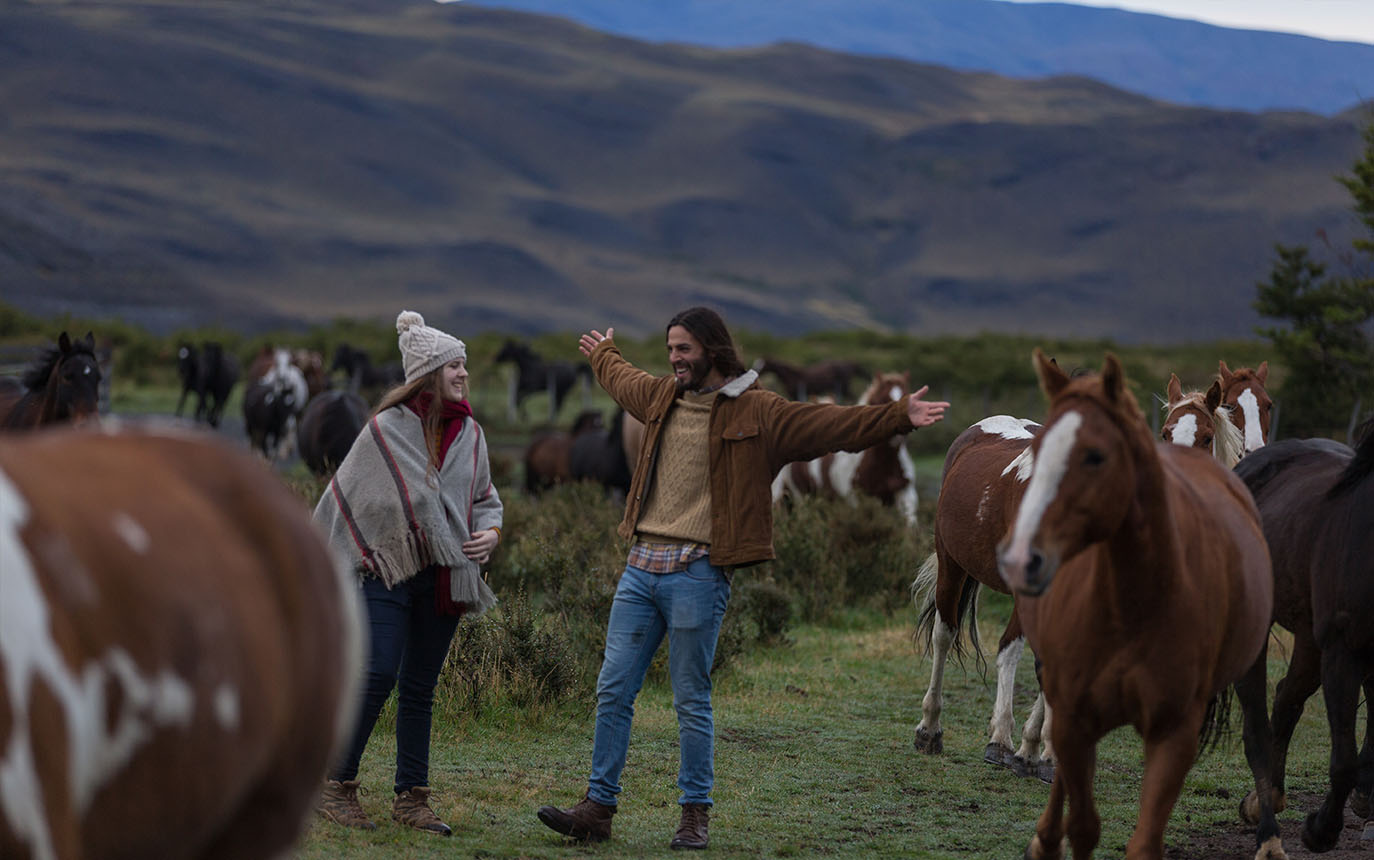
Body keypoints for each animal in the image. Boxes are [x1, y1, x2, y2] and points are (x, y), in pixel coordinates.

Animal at [774, 370, 923, 524]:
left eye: (907, 395)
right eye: (883, 399)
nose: (899, 435)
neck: (884, 462)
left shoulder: (905, 493)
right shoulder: (856, 500)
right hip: (802, 499)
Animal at [912, 412, 1049, 780]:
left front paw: (1035, 752)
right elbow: (1011, 650)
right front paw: (1001, 740)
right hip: (951, 564)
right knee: (943, 635)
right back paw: (929, 729)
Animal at [1236, 431, 1374, 846]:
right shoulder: (1343, 651)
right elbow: (1343, 762)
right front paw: (1320, 831)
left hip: (1310, 641)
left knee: (1286, 697)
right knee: (1266, 715)